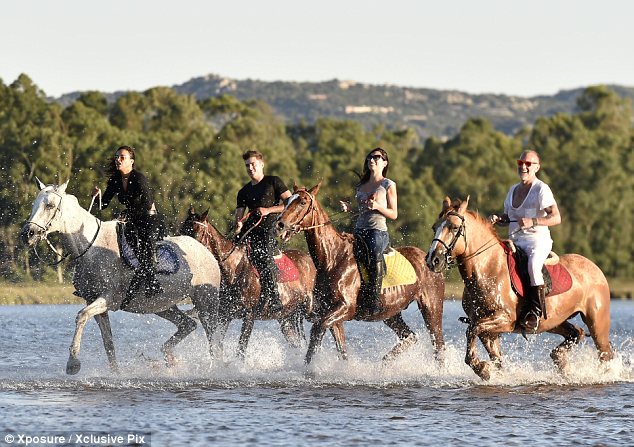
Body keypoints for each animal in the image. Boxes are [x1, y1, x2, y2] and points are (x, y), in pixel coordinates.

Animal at [21, 180, 222, 376]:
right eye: (34, 205)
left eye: (49, 205)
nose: (27, 234)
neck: (90, 248)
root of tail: (205, 250)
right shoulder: (94, 302)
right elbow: (108, 343)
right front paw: (115, 373)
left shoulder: (109, 299)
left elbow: (81, 316)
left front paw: (73, 363)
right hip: (162, 306)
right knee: (188, 324)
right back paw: (170, 359)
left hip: (206, 302)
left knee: (214, 341)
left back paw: (215, 369)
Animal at [178, 208, 316, 358]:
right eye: (181, 231)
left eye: (196, 233)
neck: (234, 270)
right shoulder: (224, 315)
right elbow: (217, 343)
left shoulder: (249, 316)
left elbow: (241, 349)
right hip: (286, 318)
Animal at [272, 184, 444, 366]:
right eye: (286, 201)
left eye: (303, 202)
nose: (279, 224)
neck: (333, 258)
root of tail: (429, 258)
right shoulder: (333, 314)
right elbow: (341, 349)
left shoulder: (346, 308)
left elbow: (317, 329)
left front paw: (308, 367)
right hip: (391, 313)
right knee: (410, 336)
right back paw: (385, 362)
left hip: (431, 308)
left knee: (438, 346)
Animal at [424, 197, 612, 382]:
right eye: (434, 227)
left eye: (454, 227)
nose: (433, 260)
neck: (487, 270)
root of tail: (595, 267)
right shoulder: (488, 329)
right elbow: (495, 358)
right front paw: (487, 370)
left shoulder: (504, 319)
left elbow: (472, 330)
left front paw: (481, 368)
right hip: (553, 321)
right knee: (577, 333)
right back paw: (561, 361)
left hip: (596, 322)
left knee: (605, 354)